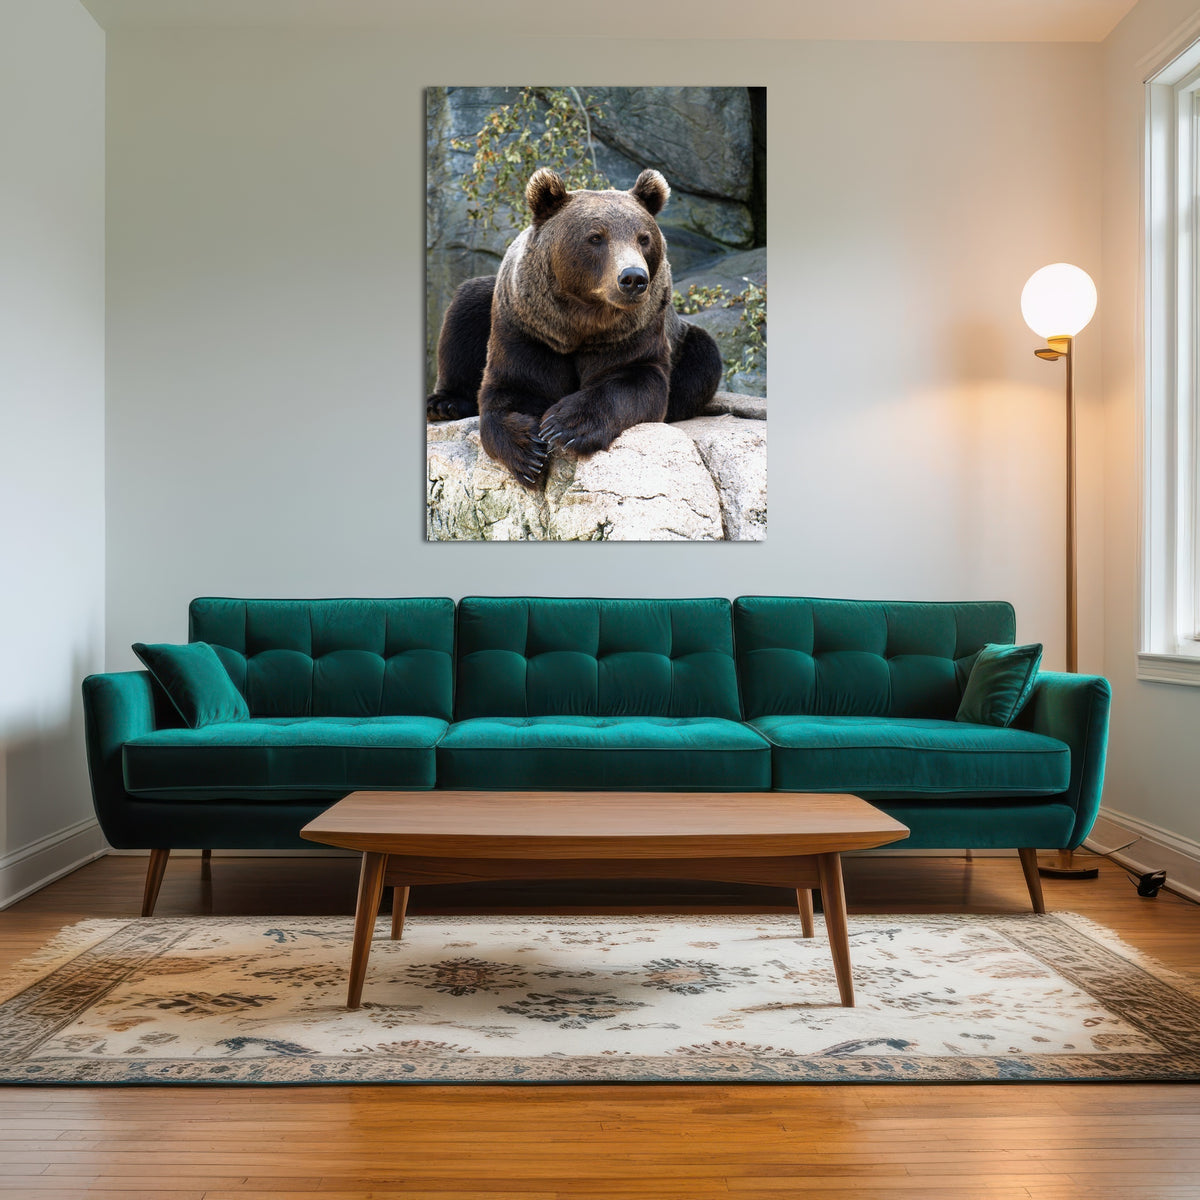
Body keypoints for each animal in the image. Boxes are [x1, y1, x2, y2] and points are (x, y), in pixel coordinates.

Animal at [426, 167, 723, 488]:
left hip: (683, 341)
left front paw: (565, 425)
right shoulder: (528, 329)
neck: (580, 322)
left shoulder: (632, 332)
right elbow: (512, 387)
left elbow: (635, 380)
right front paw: (527, 452)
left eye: (643, 238)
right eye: (596, 237)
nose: (633, 277)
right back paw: (444, 403)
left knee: (703, 359)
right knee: (466, 307)